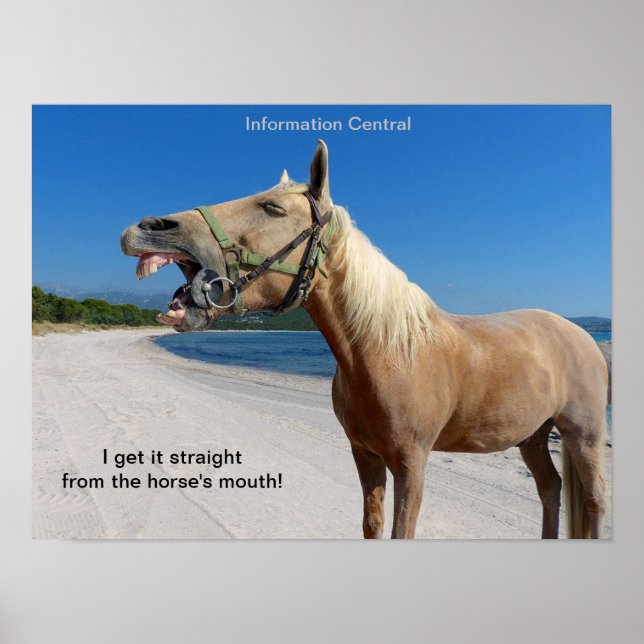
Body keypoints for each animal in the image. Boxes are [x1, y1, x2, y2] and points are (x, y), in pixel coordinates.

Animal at [120, 140, 609, 539]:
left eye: (273, 208)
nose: (148, 227)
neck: (388, 352)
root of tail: (584, 336)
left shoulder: (412, 463)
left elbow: (401, 530)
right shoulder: (365, 455)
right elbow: (372, 525)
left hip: (582, 435)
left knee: (592, 501)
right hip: (533, 436)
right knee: (551, 489)